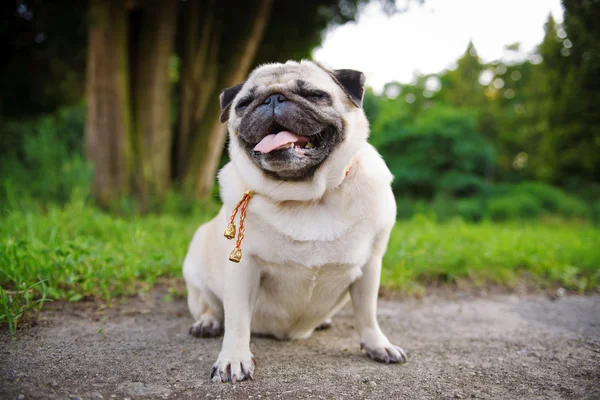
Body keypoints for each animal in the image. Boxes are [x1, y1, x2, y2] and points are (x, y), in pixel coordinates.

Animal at [183, 58, 408, 382]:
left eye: (314, 94)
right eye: (245, 103)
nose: (273, 99)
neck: (307, 197)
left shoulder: (370, 264)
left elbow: (367, 312)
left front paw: (378, 344)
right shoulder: (242, 268)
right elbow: (236, 319)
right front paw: (233, 359)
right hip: (195, 266)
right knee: (210, 305)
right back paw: (207, 322)